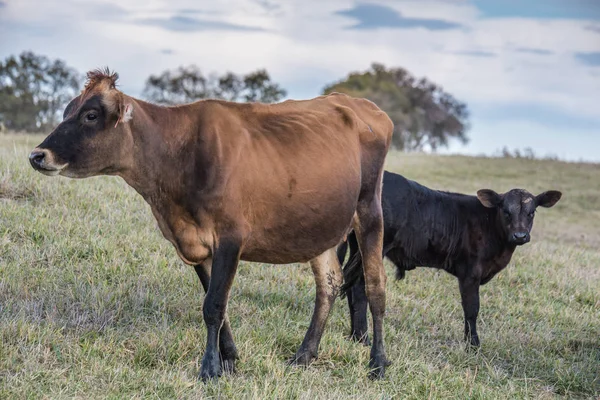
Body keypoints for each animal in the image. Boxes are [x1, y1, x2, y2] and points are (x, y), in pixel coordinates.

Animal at [27, 70, 394, 380]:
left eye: (90, 115)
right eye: (67, 111)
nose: (37, 155)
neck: (180, 154)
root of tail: (361, 107)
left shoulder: (231, 238)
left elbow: (214, 305)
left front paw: (209, 369)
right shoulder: (194, 243)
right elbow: (217, 304)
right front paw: (229, 359)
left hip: (370, 210)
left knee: (375, 287)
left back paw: (377, 362)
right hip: (321, 229)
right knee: (329, 284)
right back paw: (304, 354)